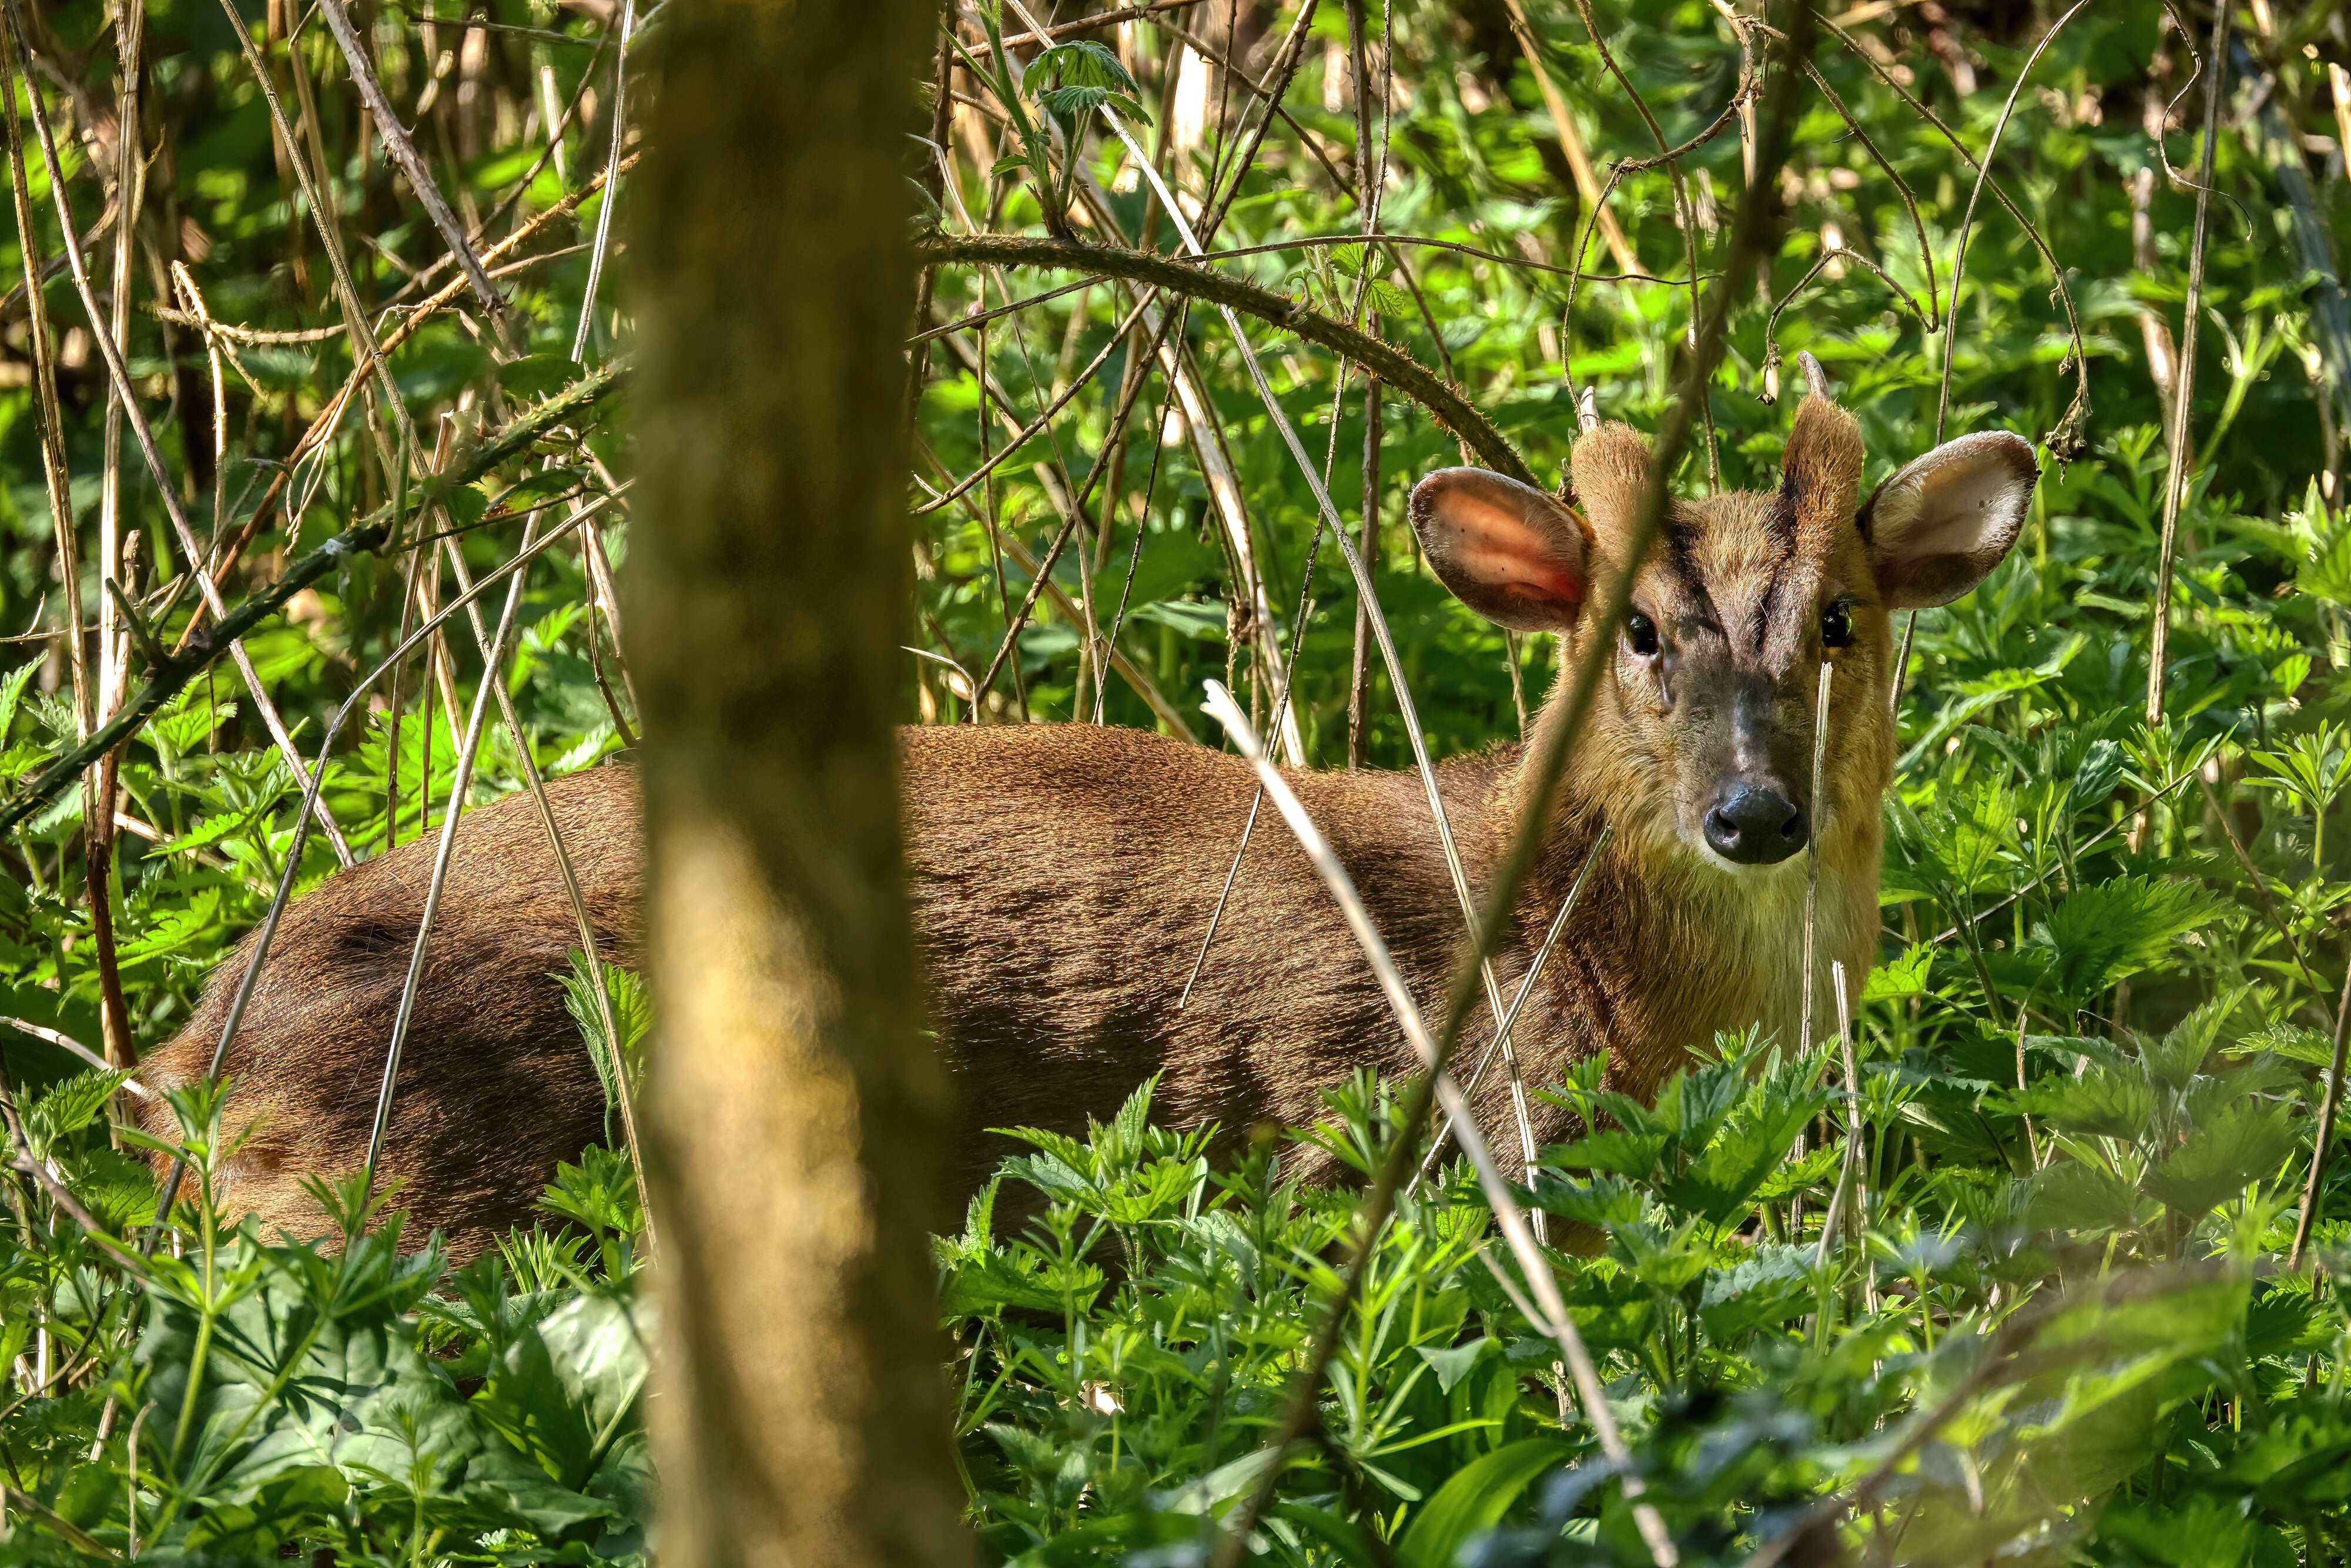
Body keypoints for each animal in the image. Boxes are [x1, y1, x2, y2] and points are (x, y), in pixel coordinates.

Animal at [138, 364, 2031, 1251]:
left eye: (1843, 617)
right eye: (1634, 630)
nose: (1756, 812)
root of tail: (175, 1065)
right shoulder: (1397, 1119)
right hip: (435, 1169)